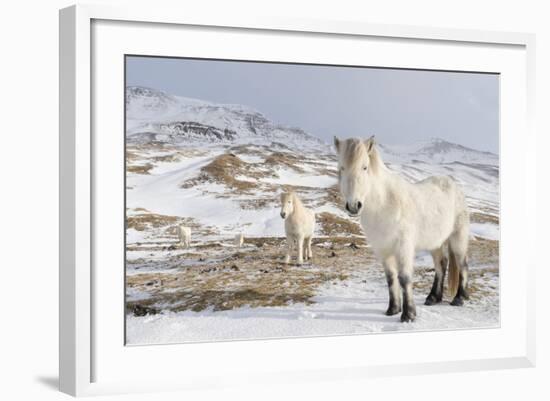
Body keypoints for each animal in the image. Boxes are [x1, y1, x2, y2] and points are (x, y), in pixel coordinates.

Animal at [334, 137, 472, 322]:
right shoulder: (383, 250)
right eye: (341, 167)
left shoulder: (403, 247)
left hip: (458, 237)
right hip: (435, 243)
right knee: (441, 265)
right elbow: (391, 278)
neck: (385, 204)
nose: (354, 206)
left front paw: (408, 315)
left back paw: (459, 298)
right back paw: (433, 298)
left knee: (462, 264)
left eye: (364, 167)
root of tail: (454, 186)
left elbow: (404, 278)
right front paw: (393, 309)